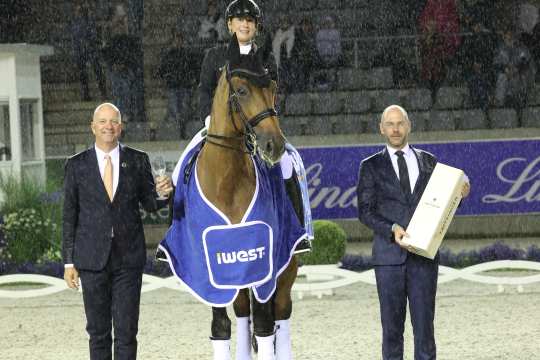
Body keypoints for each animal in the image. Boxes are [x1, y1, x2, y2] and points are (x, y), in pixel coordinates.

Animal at [198, 34, 300, 360]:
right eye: (241, 91)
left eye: (273, 89)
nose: (273, 145)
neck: (226, 181)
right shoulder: (211, 266)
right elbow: (221, 327)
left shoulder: (263, 262)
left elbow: (266, 327)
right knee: (243, 313)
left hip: (288, 267)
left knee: (281, 313)